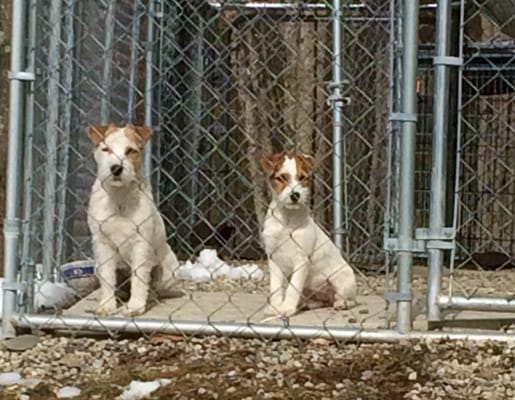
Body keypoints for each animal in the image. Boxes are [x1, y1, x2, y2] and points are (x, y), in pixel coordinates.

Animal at [87, 123, 179, 318]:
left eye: (130, 151)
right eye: (106, 149)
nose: (116, 168)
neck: (119, 197)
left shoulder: (141, 244)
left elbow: (139, 278)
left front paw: (135, 306)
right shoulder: (102, 244)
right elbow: (108, 278)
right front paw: (107, 305)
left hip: (171, 270)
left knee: (153, 287)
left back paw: (149, 298)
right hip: (96, 265)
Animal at [260, 152, 356, 318]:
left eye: (302, 177)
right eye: (282, 178)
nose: (295, 195)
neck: (287, 218)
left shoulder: (301, 259)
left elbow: (292, 288)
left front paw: (286, 308)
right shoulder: (273, 258)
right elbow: (276, 288)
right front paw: (275, 307)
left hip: (342, 278)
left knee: (347, 298)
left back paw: (341, 304)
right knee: (319, 301)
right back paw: (306, 304)